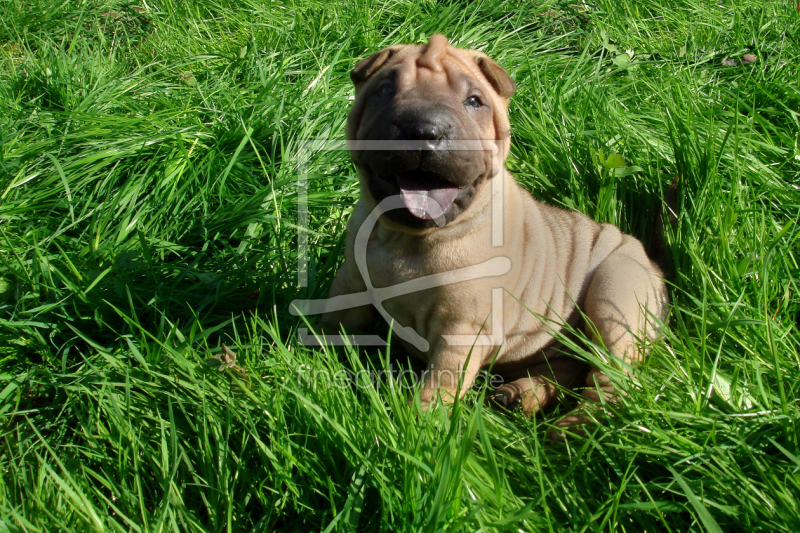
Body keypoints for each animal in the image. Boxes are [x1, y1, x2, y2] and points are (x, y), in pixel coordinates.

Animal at [322, 34, 664, 424]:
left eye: (474, 101)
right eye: (385, 90)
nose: (424, 130)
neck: (409, 240)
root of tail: (655, 266)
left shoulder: (463, 329)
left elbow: (440, 381)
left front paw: (418, 423)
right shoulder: (351, 282)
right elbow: (333, 324)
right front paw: (308, 360)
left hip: (616, 292)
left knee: (610, 378)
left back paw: (574, 427)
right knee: (566, 368)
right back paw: (520, 396)